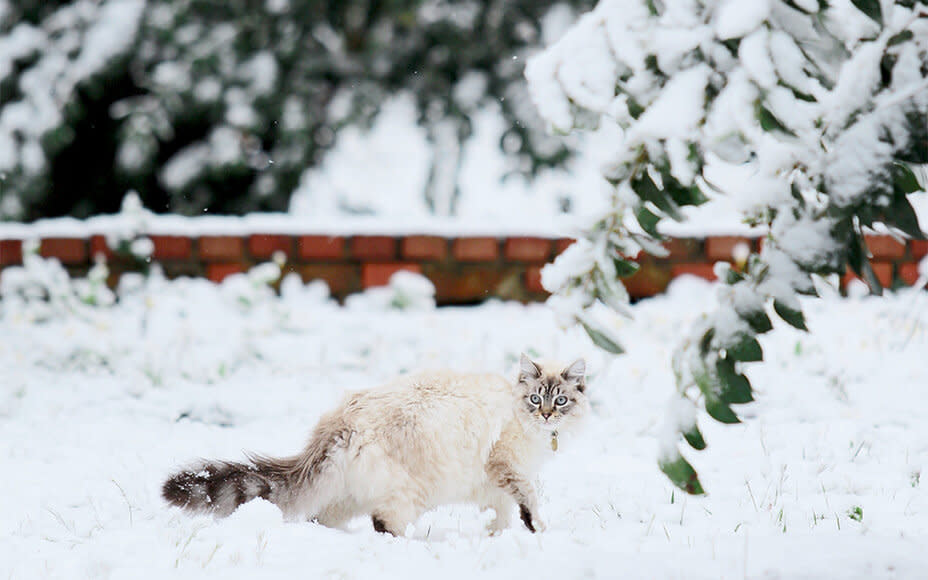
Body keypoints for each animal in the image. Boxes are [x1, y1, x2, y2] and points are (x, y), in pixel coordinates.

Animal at [162, 352, 584, 536]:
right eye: (537, 399)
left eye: (561, 400)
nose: (548, 415)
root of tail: (341, 419)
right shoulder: (506, 466)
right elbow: (527, 499)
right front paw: (535, 529)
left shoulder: (494, 483)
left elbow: (503, 512)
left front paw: (500, 534)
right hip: (408, 494)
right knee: (384, 524)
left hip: (347, 495)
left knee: (321, 518)